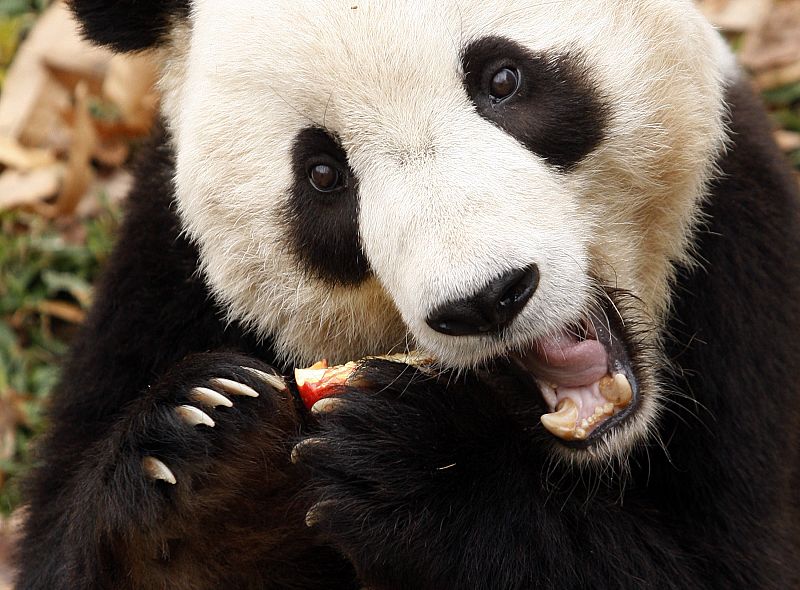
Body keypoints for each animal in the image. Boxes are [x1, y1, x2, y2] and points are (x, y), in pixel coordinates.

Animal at [12, 0, 800, 588]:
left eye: (504, 79)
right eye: (323, 174)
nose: (486, 299)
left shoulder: (744, 276)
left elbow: (736, 564)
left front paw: (420, 469)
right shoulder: (160, 280)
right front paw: (206, 469)